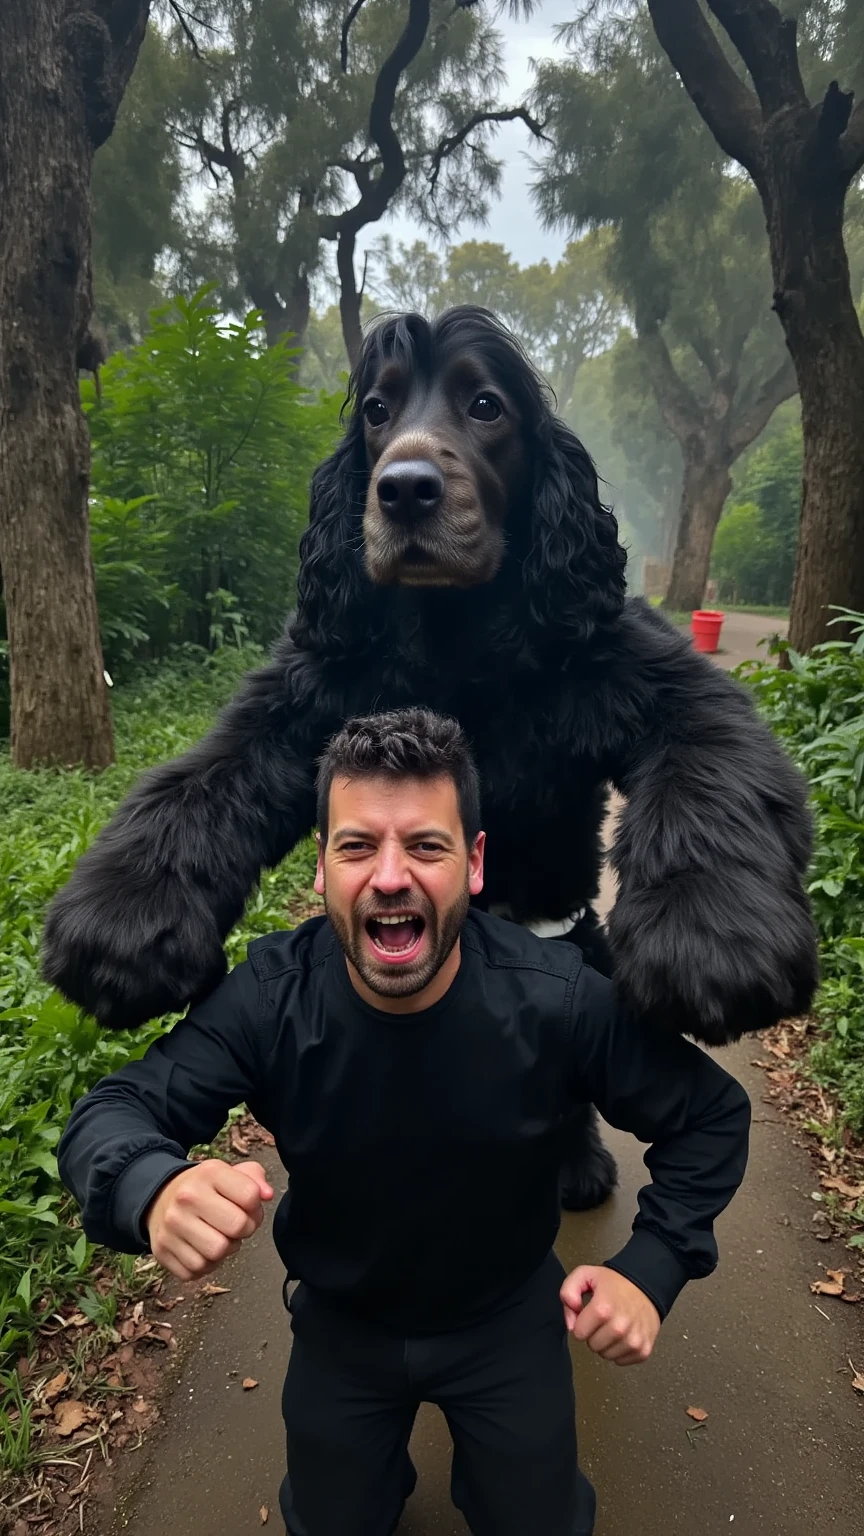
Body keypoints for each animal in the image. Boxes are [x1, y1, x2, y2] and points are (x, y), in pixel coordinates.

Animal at [45, 302, 811, 1210]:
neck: (456, 631)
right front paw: (121, 924)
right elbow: (197, 781)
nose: (405, 488)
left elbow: (712, 757)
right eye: (378, 411)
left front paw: (710, 939)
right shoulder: (302, 696)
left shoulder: (639, 671)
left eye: (486, 406)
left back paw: (576, 1160)